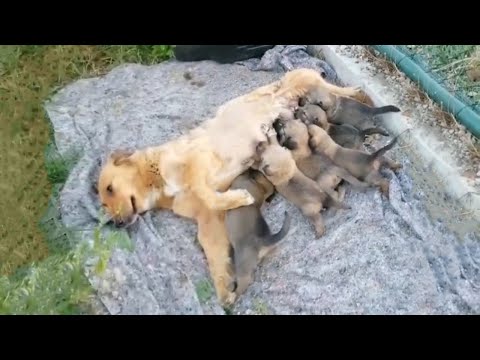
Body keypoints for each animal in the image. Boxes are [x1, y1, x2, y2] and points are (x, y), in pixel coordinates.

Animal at [95, 67, 370, 304]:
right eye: (103, 203)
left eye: (109, 189)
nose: (117, 224)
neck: (158, 179)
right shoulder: (207, 220)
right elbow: (213, 252)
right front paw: (224, 288)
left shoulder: (198, 163)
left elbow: (206, 192)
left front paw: (239, 198)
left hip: (305, 80)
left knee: (336, 89)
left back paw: (359, 92)